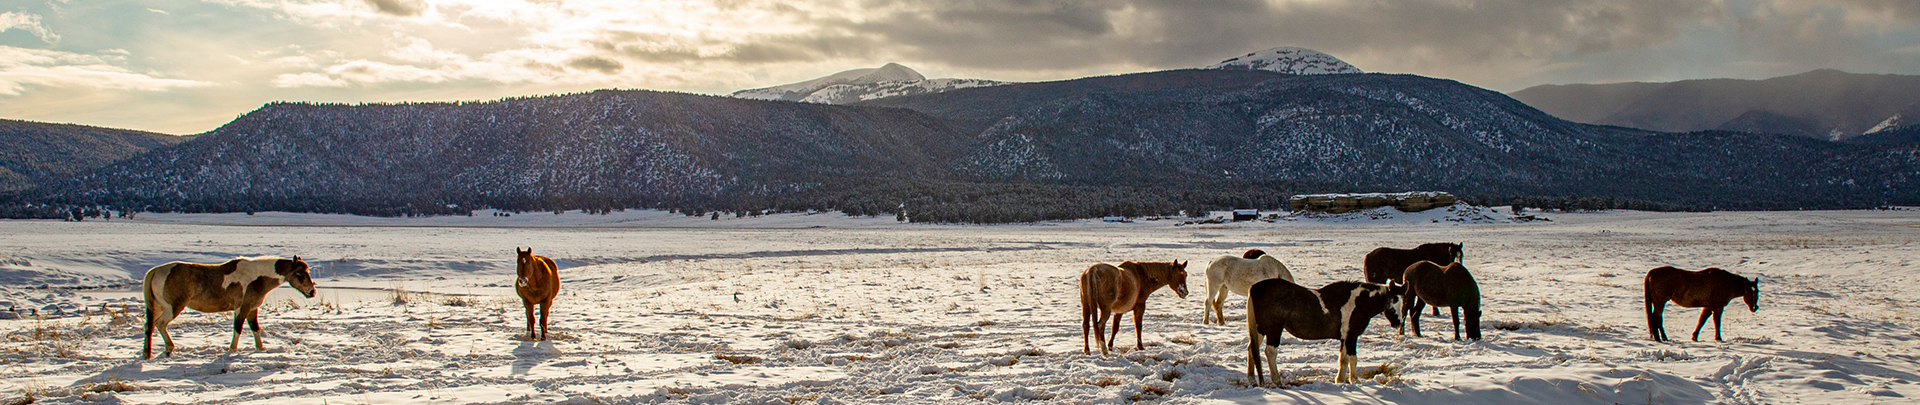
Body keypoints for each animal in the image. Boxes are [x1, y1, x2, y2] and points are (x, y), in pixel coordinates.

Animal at [141, 256, 317, 359]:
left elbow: (255, 328)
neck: (257, 277)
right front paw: (232, 350)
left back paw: (147, 353)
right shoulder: (242, 308)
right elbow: (238, 328)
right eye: (299, 274)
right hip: (173, 307)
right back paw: (168, 348)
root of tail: (155, 271)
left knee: (149, 326)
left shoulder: (252, 309)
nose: (312, 292)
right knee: (160, 324)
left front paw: (260, 348)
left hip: (158, 307)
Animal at [1246, 279, 1402, 385]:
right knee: (1270, 352)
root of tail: (1256, 287)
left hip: (1260, 330)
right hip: (1274, 329)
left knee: (1252, 349)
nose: (1398, 323)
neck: (1360, 301)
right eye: (1393, 299)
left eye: (1404, 301)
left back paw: (1251, 379)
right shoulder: (1351, 335)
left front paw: (1340, 380)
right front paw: (1355, 381)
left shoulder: (1345, 337)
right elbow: (1352, 358)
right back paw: (1277, 380)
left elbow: (1343, 358)